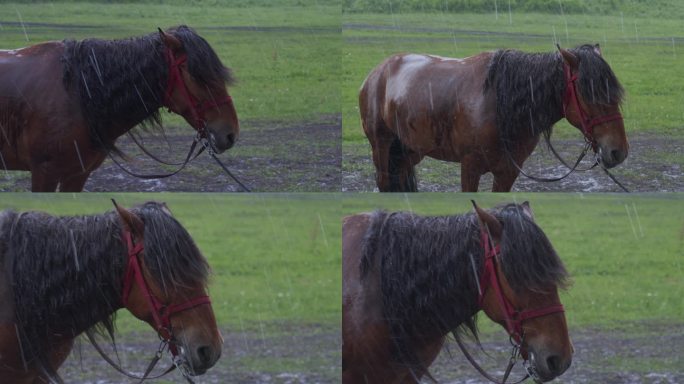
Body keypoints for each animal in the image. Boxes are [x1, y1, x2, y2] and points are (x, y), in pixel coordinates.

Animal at [360, 44, 628, 192]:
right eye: (590, 93)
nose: (618, 151)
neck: (498, 106)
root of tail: (376, 73)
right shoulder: (470, 167)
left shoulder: (507, 173)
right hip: (381, 146)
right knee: (384, 182)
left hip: (410, 151)